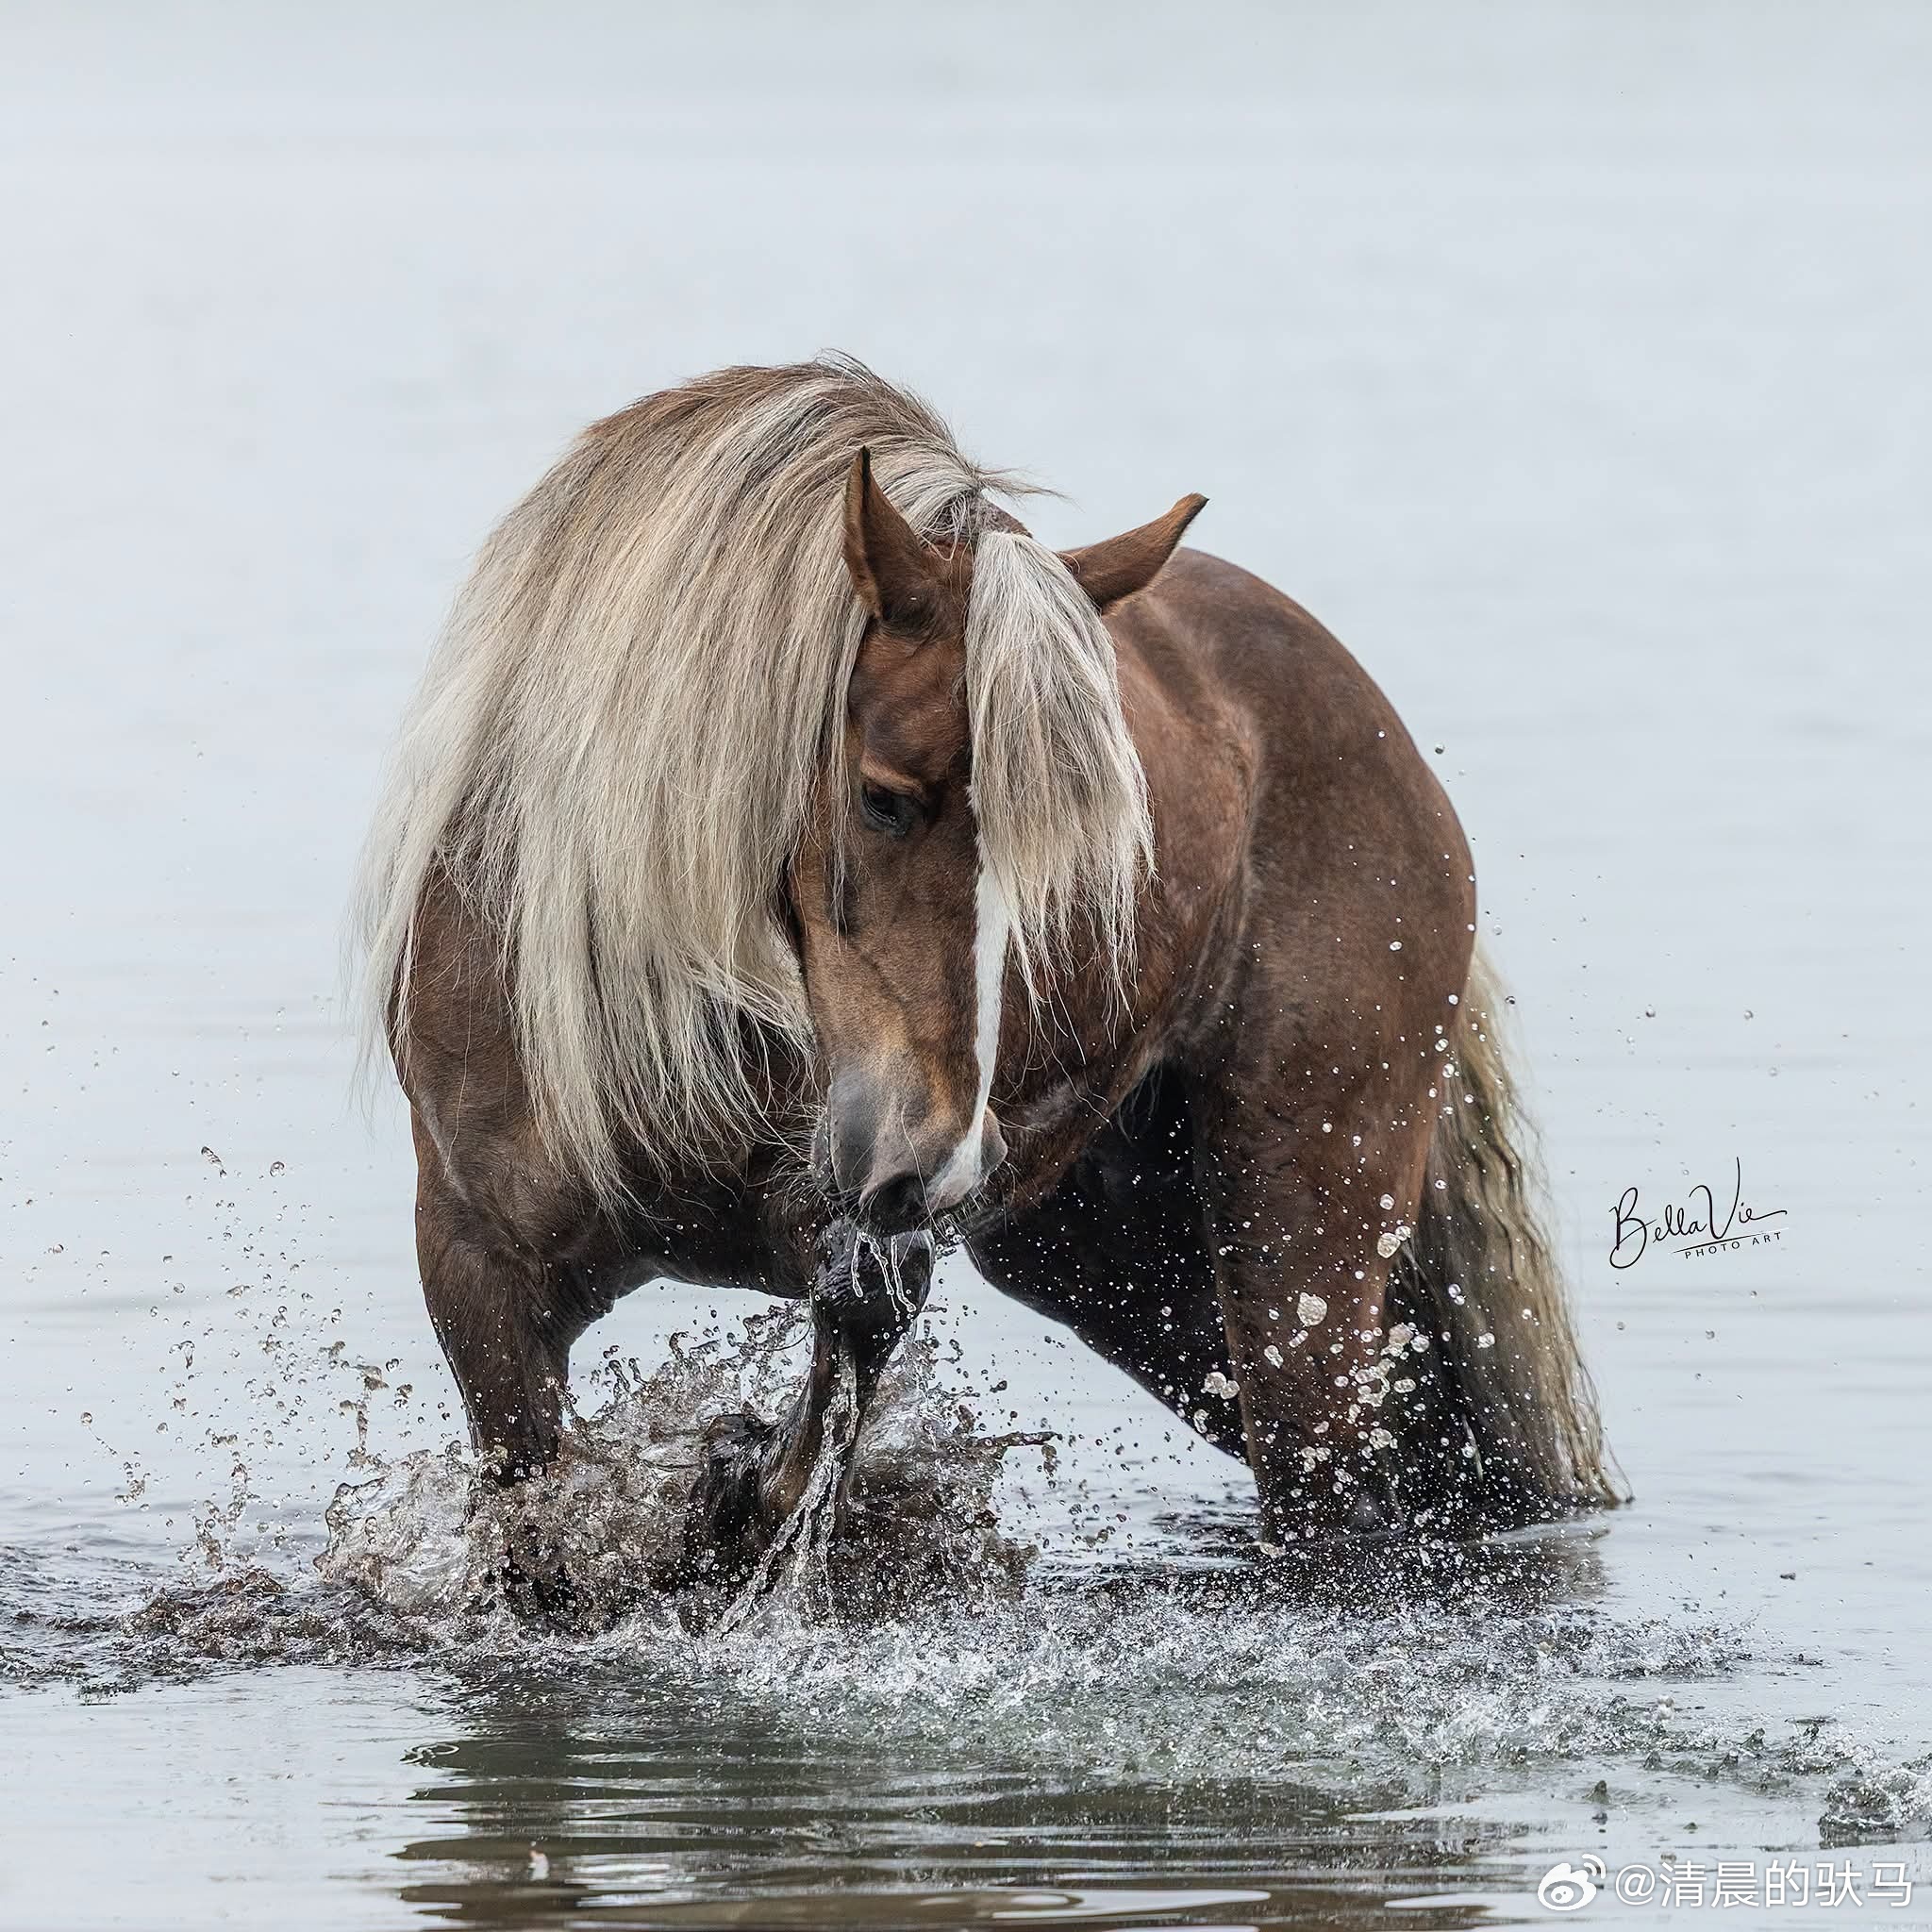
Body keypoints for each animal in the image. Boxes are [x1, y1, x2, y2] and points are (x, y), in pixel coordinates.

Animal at [355, 355, 1618, 1600]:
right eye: (881, 796)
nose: (937, 1154)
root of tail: (1375, 727)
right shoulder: (475, 1267)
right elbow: (537, 1540)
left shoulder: (868, 1220)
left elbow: (834, 1377)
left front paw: (732, 1496)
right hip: (1116, 1261)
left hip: (1296, 1228)